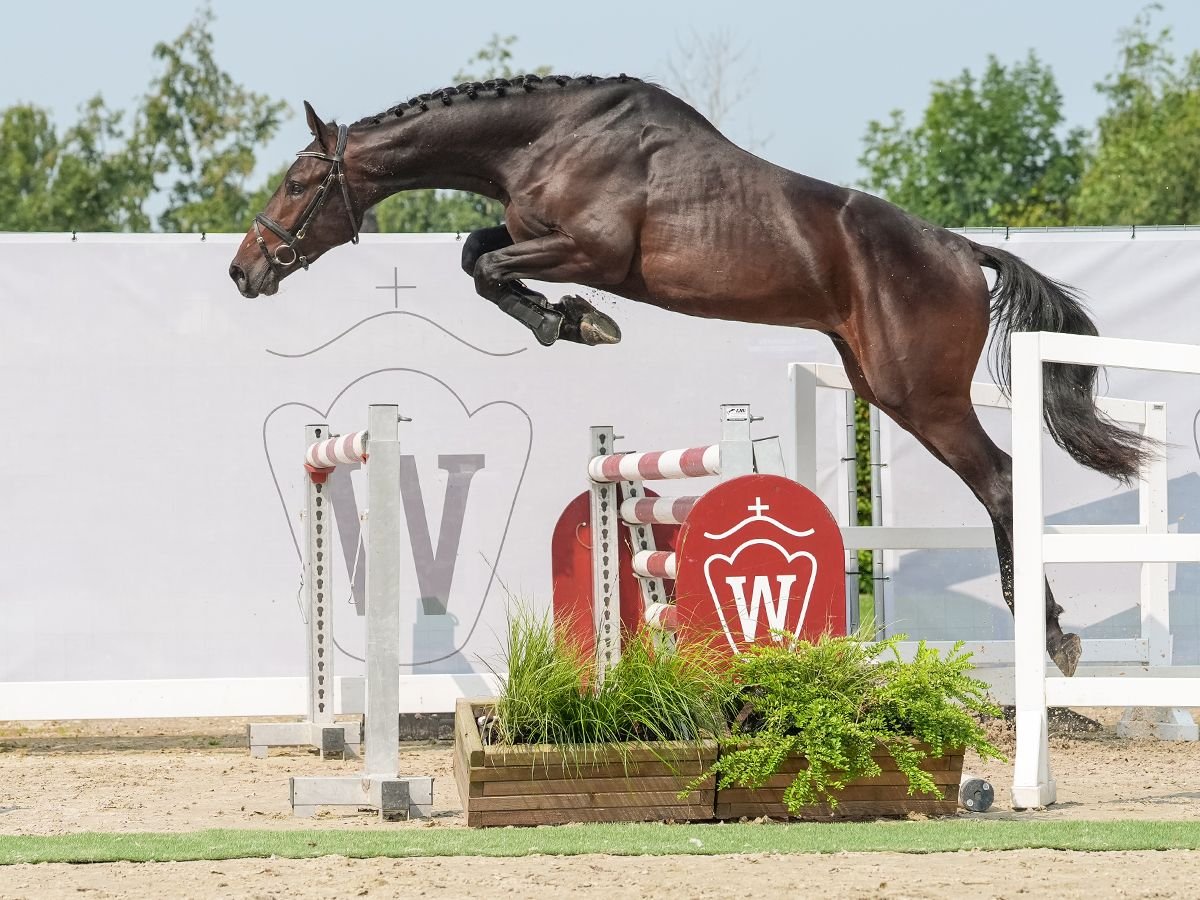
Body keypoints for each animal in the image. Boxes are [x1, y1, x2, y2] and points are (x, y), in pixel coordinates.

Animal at [229, 72, 1147, 676]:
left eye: (299, 181)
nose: (245, 270)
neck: (545, 138)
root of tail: (963, 249)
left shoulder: (590, 251)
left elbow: (487, 267)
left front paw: (576, 321)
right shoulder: (532, 234)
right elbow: (477, 254)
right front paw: (570, 319)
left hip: (921, 396)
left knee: (1001, 479)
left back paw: (1049, 631)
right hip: (879, 385)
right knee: (998, 480)